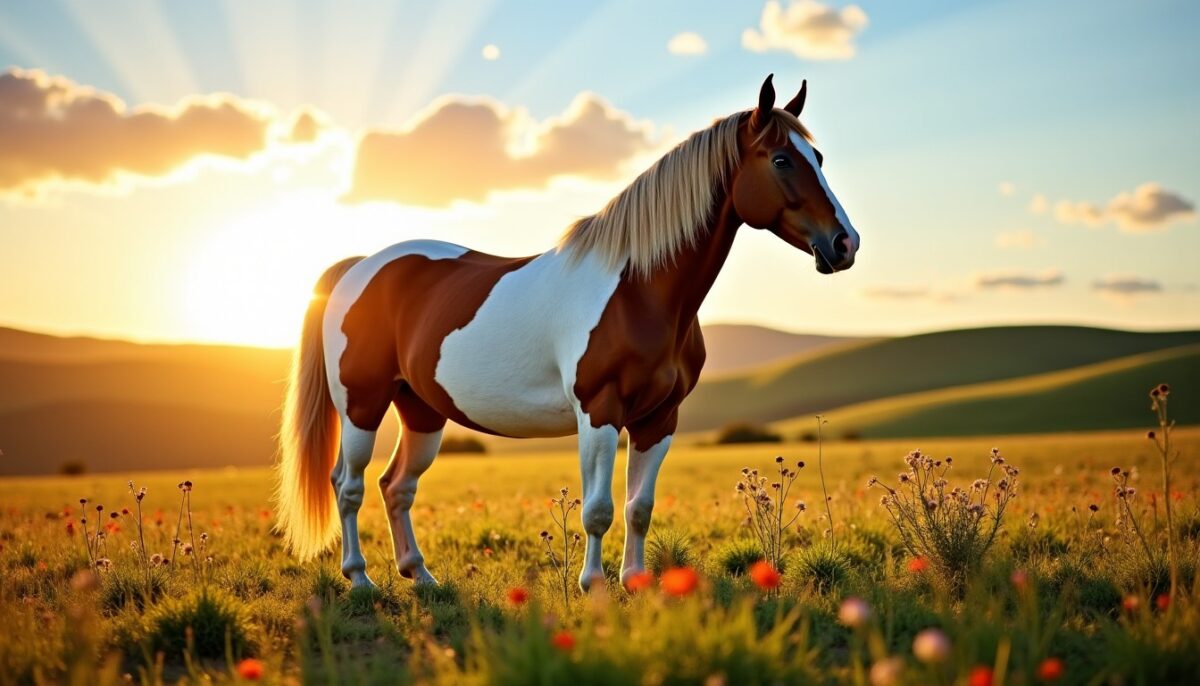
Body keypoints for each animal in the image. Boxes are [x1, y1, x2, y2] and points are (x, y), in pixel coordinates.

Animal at [276, 74, 860, 591]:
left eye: (820, 160)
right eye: (781, 160)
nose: (845, 243)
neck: (637, 291)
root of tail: (359, 267)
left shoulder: (659, 420)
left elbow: (639, 507)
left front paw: (636, 581)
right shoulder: (599, 412)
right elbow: (598, 510)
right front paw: (594, 584)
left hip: (421, 411)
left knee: (396, 487)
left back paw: (420, 575)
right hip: (362, 404)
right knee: (348, 486)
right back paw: (359, 579)